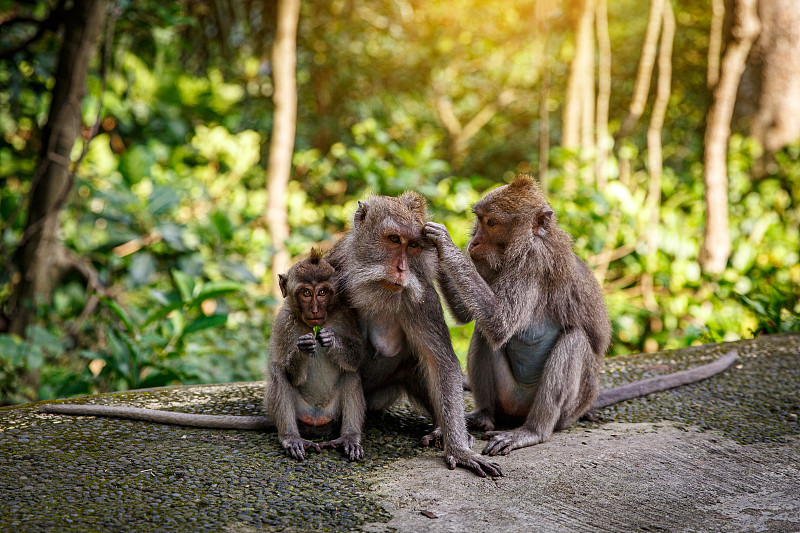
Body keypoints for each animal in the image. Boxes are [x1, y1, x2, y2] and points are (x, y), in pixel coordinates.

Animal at [36, 249, 362, 462]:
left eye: (323, 292)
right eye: (306, 293)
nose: (316, 310)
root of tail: (313, 423)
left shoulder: (345, 314)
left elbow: (355, 357)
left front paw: (329, 340)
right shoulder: (283, 324)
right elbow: (286, 369)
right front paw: (304, 347)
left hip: (331, 414)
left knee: (351, 376)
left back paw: (349, 437)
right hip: (296, 413)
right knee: (277, 375)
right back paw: (291, 438)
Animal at [428, 176, 736, 458]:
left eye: (491, 223)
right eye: (479, 220)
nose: (474, 242)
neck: (521, 247)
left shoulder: (534, 263)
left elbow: (499, 322)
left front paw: (444, 244)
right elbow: (470, 316)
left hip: (569, 406)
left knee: (572, 341)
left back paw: (533, 431)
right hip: (510, 396)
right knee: (483, 334)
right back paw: (483, 415)